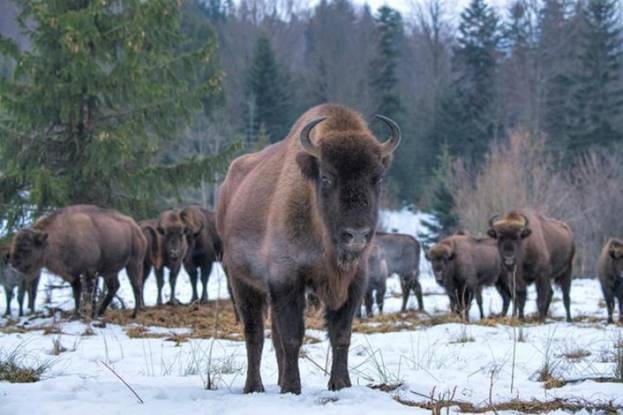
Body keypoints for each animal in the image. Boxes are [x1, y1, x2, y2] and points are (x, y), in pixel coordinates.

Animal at [10, 205, 147, 318]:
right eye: (14, 243)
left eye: (26, 246)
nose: (13, 263)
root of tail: (137, 229)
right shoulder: (73, 274)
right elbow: (77, 292)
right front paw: (76, 314)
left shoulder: (90, 271)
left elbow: (88, 293)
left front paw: (86, 313)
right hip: (110, 271)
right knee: (114, 287)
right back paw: (100, 312)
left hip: (134, 264)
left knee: (136, 286)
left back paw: (134, 314)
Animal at [219, 103, 402, 394]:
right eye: (326, 177)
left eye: (378, 178)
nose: (356, 235)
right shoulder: (287, 279)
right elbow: (293, 335)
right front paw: (292, 387)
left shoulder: (354, 283)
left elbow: (340, 334)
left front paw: (340, 384)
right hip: (241, 281)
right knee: (254, 333)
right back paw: (254, 386)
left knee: (273, 337)